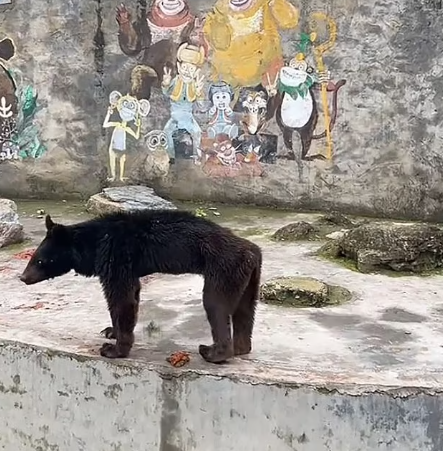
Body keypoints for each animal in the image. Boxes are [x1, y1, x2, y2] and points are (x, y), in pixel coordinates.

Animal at [19, 211, 264, 364]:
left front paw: (113, 349)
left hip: (223, 269)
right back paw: (242, 347)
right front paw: (110, 331)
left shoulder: (116, 256)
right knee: (244, 310)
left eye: (39, 260)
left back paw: (213, 352)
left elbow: (122, 297)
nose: (23, 277)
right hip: (248, 279)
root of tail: (253, 251)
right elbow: (130, 296)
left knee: (216, 305)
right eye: (33, 258)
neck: (93, 244)